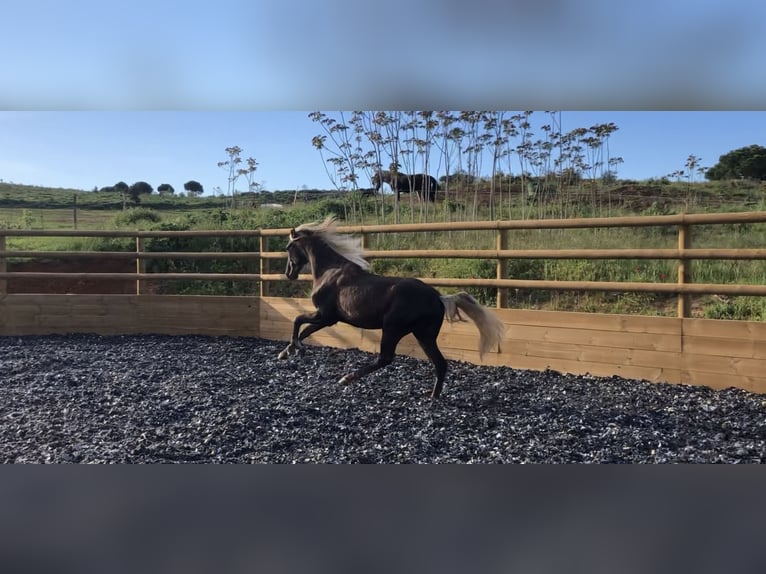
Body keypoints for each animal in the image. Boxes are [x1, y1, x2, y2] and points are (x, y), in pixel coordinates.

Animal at [277, 216, 505, 399]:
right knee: (440, 364)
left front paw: (295, 348)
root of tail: (438, 297)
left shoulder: (325, 315)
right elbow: (305, 330)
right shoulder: (328, 318)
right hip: (424, 335)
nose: (289, 273)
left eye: (288, 248)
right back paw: (433, 395)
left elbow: (298, 321)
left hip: (393, 329)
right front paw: (286, 352)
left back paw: (347, 378)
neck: (329, 271)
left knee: (385, 358)